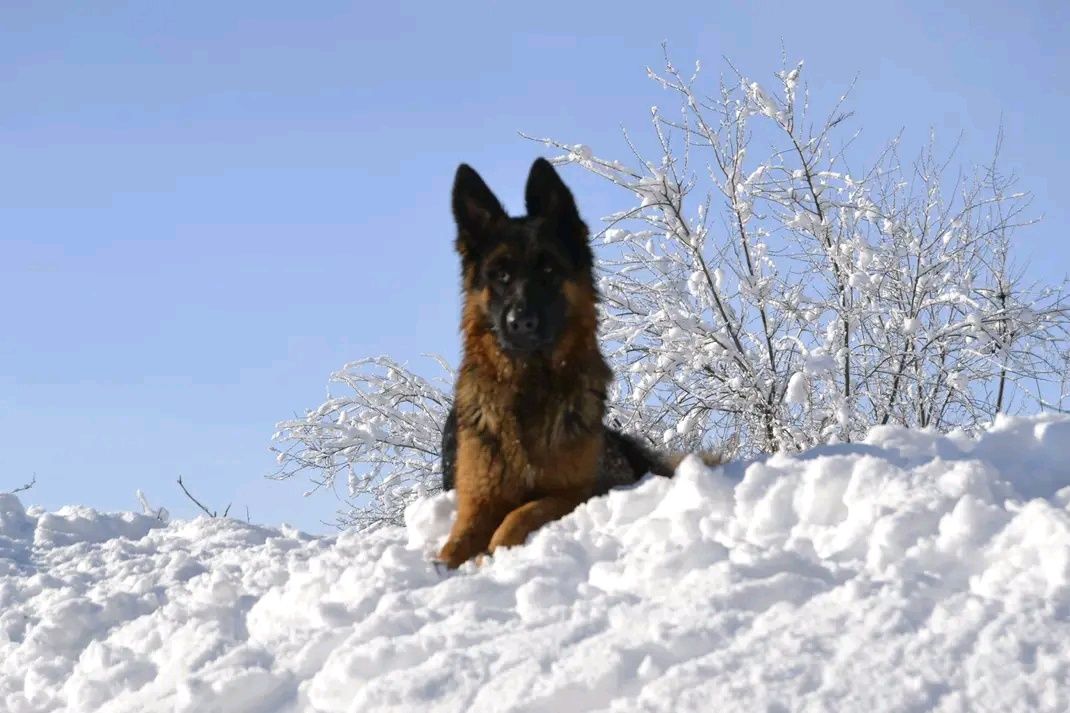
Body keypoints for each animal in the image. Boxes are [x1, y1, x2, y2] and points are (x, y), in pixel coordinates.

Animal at [436, 157, 693, 565]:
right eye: (501, 275)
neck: (527, 388)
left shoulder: (576, 493)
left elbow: (518, 516)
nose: (520, 322)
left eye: (547, 270)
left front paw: (491, 555)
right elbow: (452, 547)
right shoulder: (477, 502)